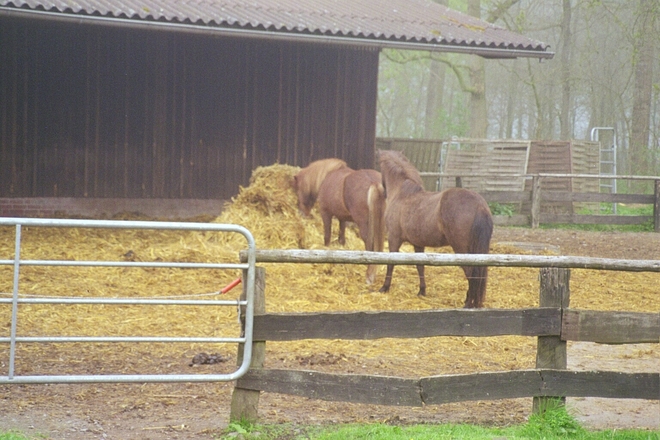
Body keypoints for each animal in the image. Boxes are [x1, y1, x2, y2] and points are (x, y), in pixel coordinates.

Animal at [378, 150, 492, 308]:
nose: (383, 191)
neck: (402, 194)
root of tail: (479, 205)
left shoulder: (394, 238)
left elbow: (390, 264)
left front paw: (385, 287)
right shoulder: (418, 244)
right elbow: (420, 267)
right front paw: (422, 291)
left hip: (462, 250)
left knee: (470, 273)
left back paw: (468, 303)